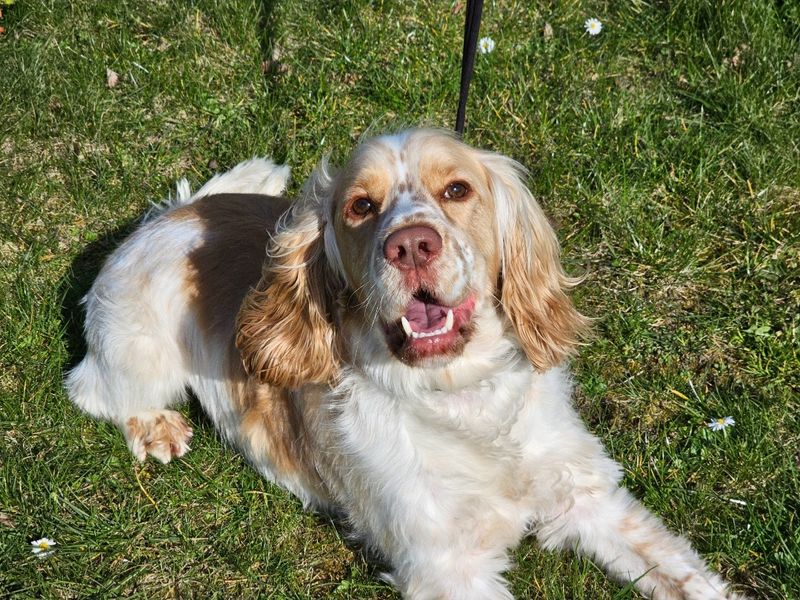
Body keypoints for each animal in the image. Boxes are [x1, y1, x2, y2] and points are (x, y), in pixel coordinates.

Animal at [66, 129, 741, 599]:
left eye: (457, 190)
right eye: (361, 206)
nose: (412, 245)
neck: (461, 398)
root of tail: (170, 215)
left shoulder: (586, 496)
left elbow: (682, 572)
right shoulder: (448, 567)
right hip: (141, 351)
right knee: (90, 388)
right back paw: (156, 428)